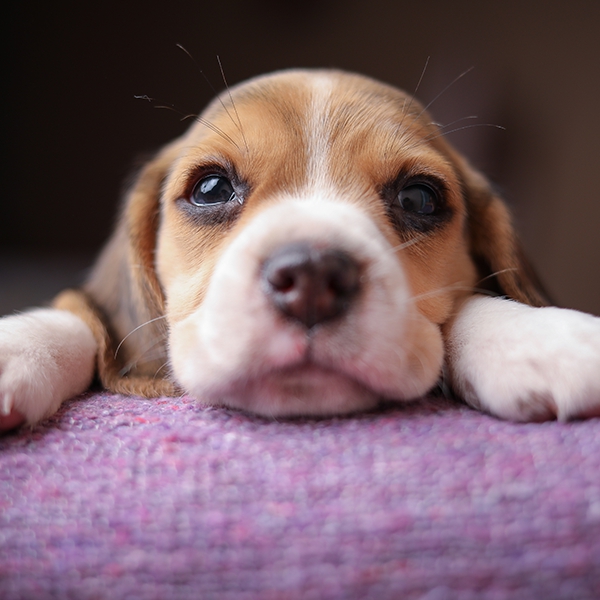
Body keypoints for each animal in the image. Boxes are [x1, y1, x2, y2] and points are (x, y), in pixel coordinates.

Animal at [1, 68, 600, 428]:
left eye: (420, 198)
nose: (312, 278)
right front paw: (20, 345)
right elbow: (83, 318)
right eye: (210, 188)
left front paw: (536, 335)